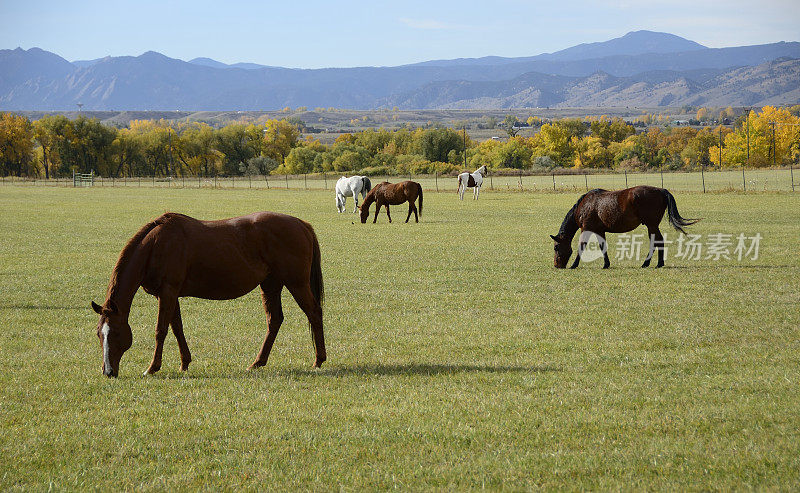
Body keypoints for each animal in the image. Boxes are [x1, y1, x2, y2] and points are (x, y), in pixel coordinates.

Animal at [94, 210, 328, 376]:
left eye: (115, 333)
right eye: (99, 334)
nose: (108, 372)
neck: (156, 245)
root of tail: (302, 224)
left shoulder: (168, 292)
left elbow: (161, 330)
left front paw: (152, 367)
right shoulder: (170, 295)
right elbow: (177, 328)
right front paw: (184, 363)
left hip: (296, 283)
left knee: (314, 313)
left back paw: (318, 360)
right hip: (271, 285)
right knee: (275, 320)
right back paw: (258, 362)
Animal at [552, 184, 700, 270]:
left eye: (556, 247)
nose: (557, 266)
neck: (586, 205)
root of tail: (661, 190)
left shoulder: (586, 229)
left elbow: (581, 246)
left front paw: (574, 265)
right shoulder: (600, 231)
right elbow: (603, 246)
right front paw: (606, 264)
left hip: (651, 225)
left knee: (656, 241)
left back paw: (650, 263)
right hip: (652, 226)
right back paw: (657, 263)